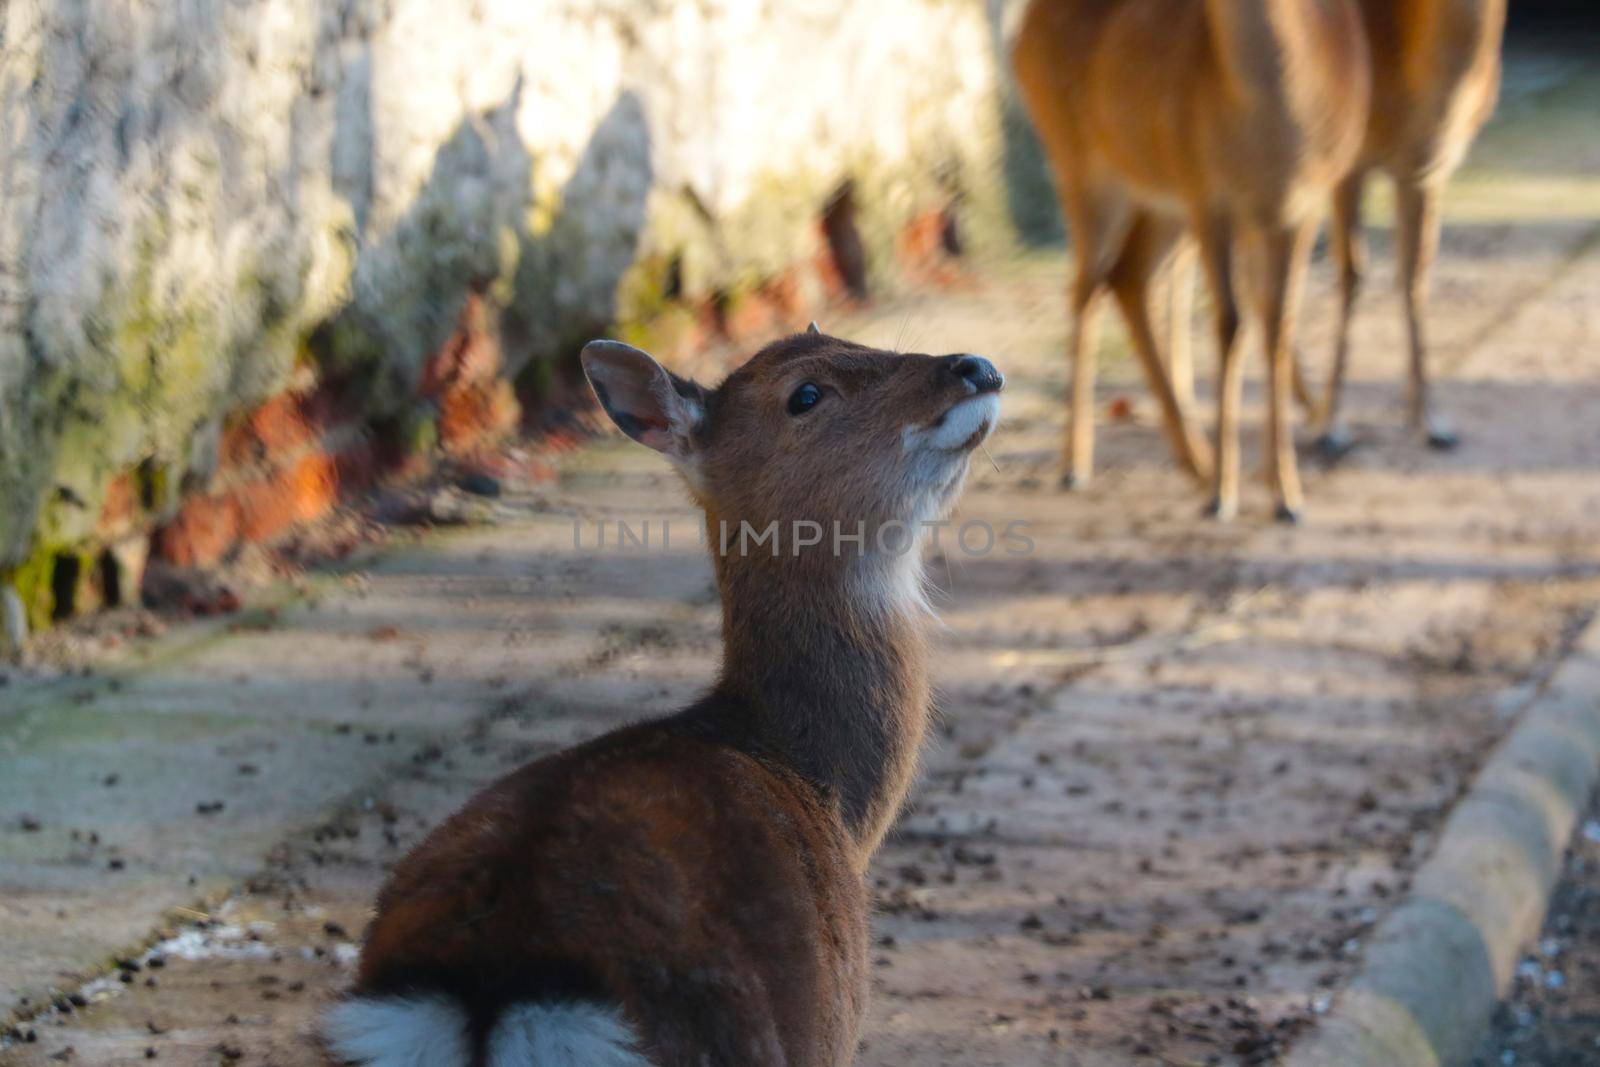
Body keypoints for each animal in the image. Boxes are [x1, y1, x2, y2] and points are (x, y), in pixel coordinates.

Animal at [1017, 0, 1369, 518]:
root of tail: (1023, 30)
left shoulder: (1302, 206)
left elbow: (1278, 328)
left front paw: (1285, 494)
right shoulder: (1208, 195)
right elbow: (1231, 325)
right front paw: (1224, 496)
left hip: (1162, 203)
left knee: (1126, 276)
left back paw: (1196, 460)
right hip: (1082, 164)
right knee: (1086, 288)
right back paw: (1076, 466)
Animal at [1312, 0, 1497, 454]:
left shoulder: (1424, 169)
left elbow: (1415, 274)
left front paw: (1431, 423)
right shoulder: (1347, 162)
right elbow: (1351, 275)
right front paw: (1330, 425)